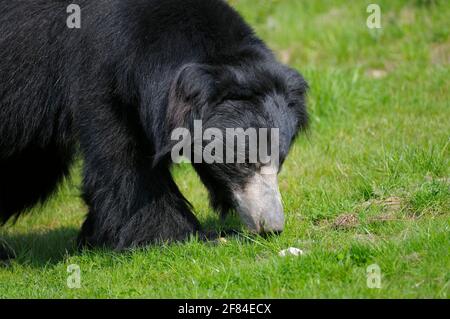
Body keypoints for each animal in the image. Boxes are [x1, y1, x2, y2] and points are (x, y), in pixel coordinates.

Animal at [0, 0, 306, 251]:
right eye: (244, 162)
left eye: (280, 162)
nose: (272, 227)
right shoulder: (99, 74)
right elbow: (125, 162)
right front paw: (181, 236)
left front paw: (92, 237)